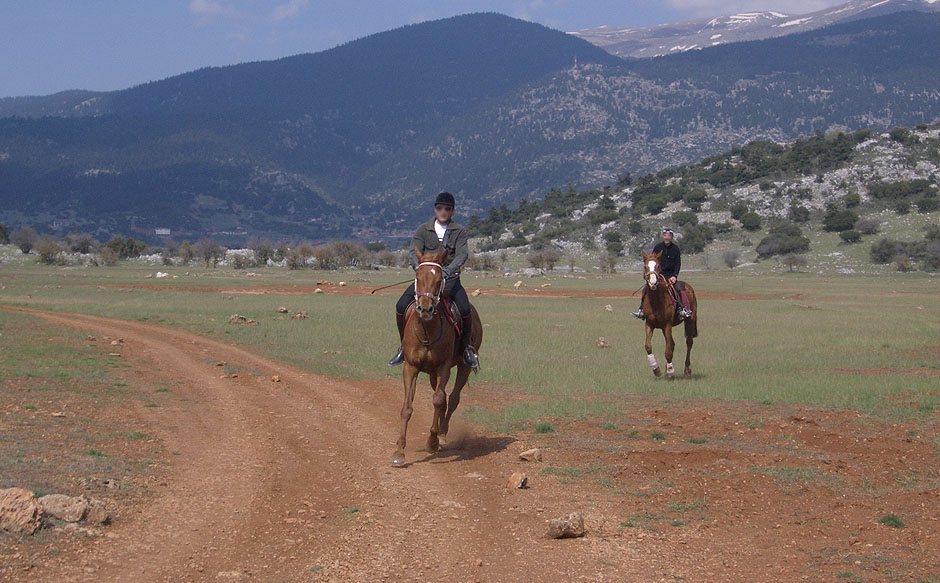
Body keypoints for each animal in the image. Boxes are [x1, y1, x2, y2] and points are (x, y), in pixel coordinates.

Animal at [390, 249, 482, 468]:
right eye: (417, 276)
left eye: (440, 279)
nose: (425, 309)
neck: (426, 330)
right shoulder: (410, 367)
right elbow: (407, 407)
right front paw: (399, 451)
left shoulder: (444, 367)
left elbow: (439, 400)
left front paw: (432, 441)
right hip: (431, 374)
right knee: (444, 397)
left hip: (463, 367)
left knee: (453, 398)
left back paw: (442, 435)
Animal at [640, 250, 696, 378]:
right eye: (645, 266)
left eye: (658, 266)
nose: (653, 282)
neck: (656, 300)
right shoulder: (649, 324)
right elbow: (648, 346)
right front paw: (657, 370)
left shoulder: (667, 325)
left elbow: (668, 351)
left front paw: (670, 373)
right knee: (673, 344)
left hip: (690, 320)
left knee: (689, 342)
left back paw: (687, 369)